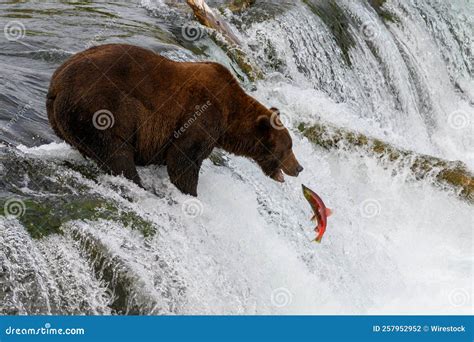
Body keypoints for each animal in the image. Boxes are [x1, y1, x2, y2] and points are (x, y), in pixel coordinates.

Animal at [46, 43, 302, 195]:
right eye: (288, 147)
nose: (299, 168)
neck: (230, 116)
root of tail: (56, 84)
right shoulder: (203, 114)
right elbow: (184, 158)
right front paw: (190, 192)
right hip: (102, 108)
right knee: (115, 151)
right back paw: (137, 183)